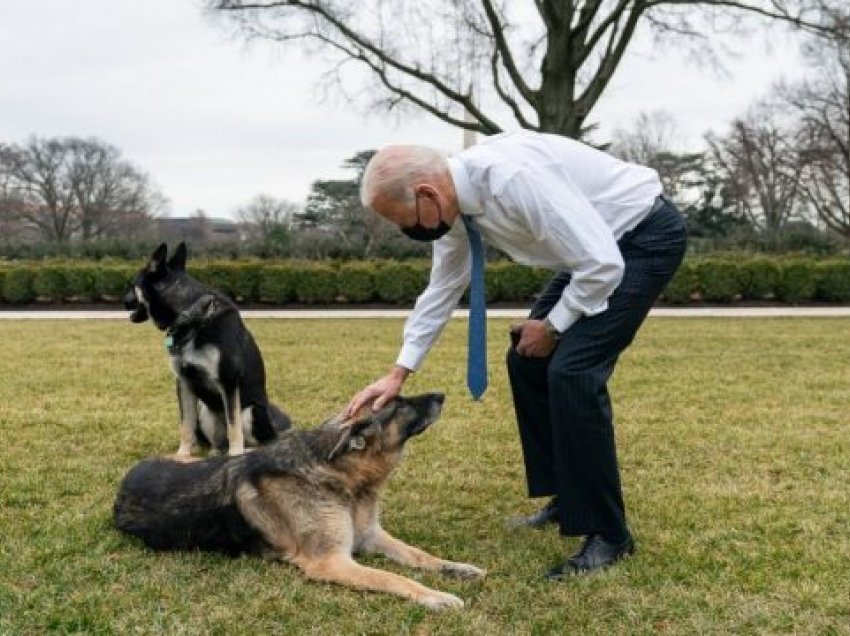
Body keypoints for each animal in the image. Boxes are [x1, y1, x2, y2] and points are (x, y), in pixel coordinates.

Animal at [121, 241, 290, 454]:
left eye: (132, 284)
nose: (123, 301)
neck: (191, 316)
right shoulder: (184, 382)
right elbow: (186, 426)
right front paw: (182, 455)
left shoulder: (228, 381)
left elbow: (234, 426)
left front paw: (235, 455)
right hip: (204, 407)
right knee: (217, 443)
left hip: (251, 411)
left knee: (255, 440)